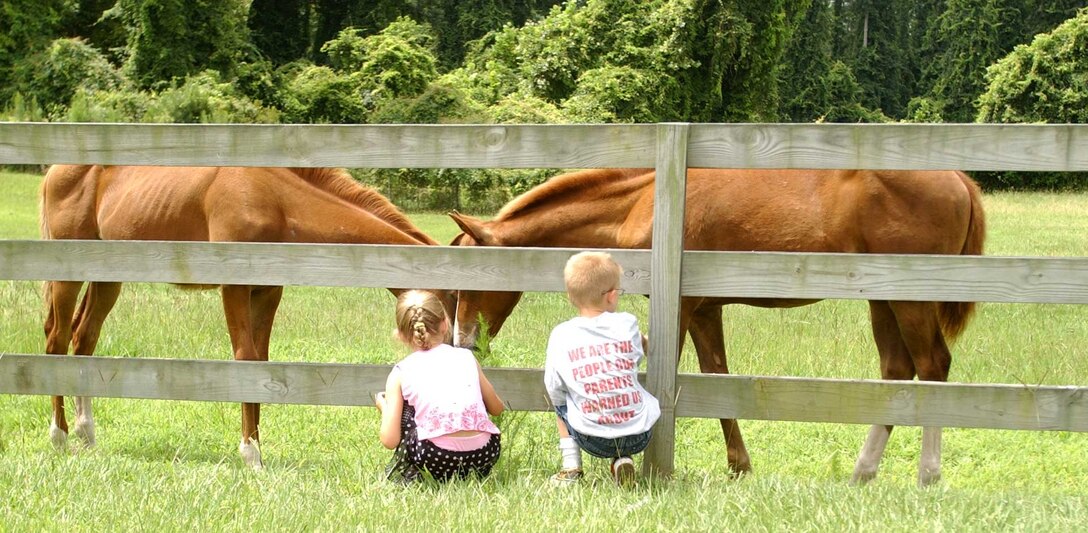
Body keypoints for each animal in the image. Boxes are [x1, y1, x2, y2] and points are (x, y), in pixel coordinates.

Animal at [41, 164, 450, 467]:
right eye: (451, 300)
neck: (274, 199)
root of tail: (54, 172)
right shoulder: (234, 288)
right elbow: (245, 358)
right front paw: (251, 453)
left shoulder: (267, 290)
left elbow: (261, 363)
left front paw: (257, 445)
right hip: (67, 277)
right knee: (56, 342)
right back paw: (59, 435)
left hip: (107, 279)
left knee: (84, 339)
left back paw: (86, 431)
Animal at [448, 167, 987, 487]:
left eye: (468, 280)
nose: (465, 343)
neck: (644, 200)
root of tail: (959, 178)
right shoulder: (707, 310)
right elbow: (717, 376)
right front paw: (739, 465)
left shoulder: (682, 307)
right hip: (884, 301)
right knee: (896, 371)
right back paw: (863, 470)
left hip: (911, 301)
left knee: (932, 366)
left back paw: (928, 473)